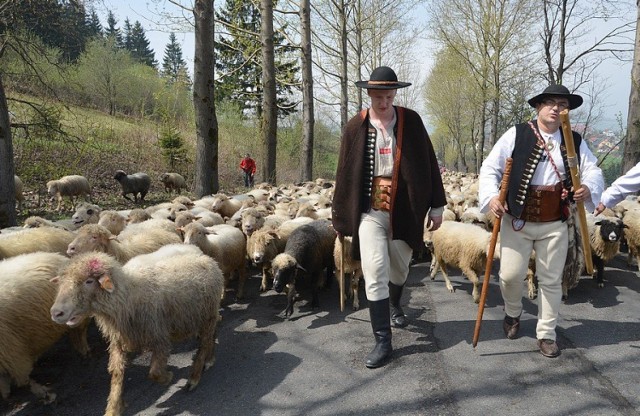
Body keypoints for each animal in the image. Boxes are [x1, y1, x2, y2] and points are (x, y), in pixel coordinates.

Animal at [0, 252, 89, 402]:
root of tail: (60, 257)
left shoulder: (11, 350)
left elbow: (23, 377)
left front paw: (40, 391)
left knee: (79, 331)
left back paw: (83, 349)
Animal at [49, 247, 222, 416]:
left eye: (89, 281)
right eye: (61, 283)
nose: (56, 313)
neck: (127, 296)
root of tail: (207, 259)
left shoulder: (159, 335)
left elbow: (154, 372)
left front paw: (168, 377)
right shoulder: (118, 341)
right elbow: (116, 374)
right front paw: (113, 408)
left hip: (207, 314)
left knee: (205, 341)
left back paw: (195, 376)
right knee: (211, 335)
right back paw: (209, 359)